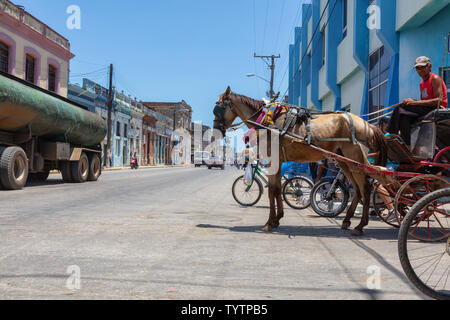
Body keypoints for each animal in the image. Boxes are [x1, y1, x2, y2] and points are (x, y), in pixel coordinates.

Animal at [214, 86, 386, 236]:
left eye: (219, 108)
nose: (215, 130)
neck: (267, 121)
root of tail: (367, 125)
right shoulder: (278, 162)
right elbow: (277, 189)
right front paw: (277, 219)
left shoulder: (273, 161)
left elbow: (272, 191)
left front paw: (269, 223)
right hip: (344, 162)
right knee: (357, 189)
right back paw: (347, 220)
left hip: (354, 159)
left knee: (365, 188)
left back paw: (360, 226)